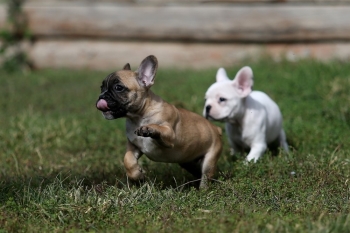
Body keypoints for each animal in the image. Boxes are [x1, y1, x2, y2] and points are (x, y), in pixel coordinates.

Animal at [95, 55, 221, 187]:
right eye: (101, 87)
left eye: (118, 88)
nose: (101, 96)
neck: (139, 116)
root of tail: (216, 128)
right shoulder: (133, 145)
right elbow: (127, 159)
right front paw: (137, 176)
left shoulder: (170, 136)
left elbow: (160, 128)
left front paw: (149, 128)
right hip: (189, 162)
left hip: (209, 160)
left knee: (206, 176)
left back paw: (202, 189)